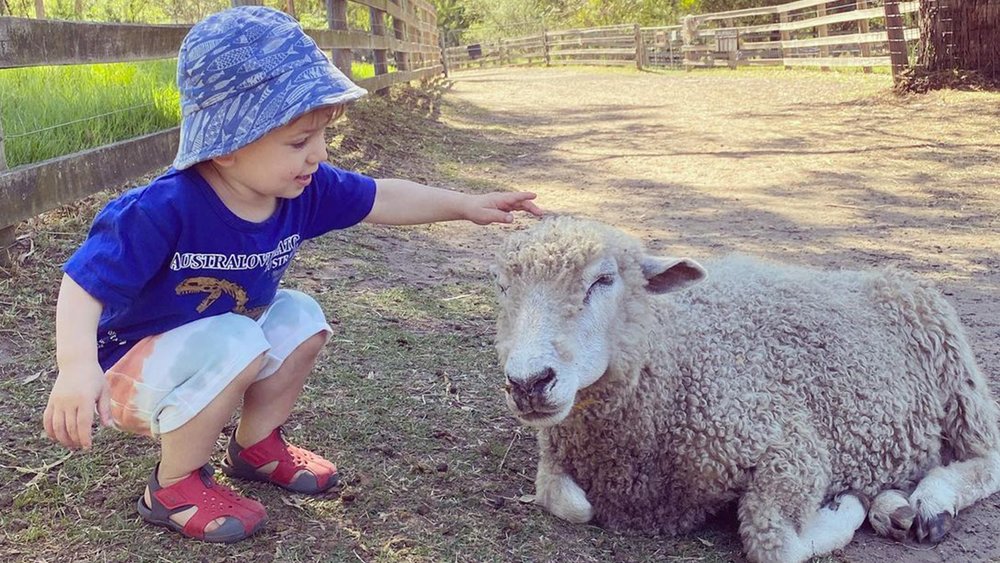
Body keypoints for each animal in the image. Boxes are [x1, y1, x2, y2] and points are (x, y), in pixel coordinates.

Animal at [492, 216, 1000, 563]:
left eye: (603, 279)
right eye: (501, 287)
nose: (528, 382)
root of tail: (887, 274)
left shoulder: (791, 447)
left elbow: (774, 544)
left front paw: (845, 508)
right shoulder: (557, 457)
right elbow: (568, 503)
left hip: (960, 386)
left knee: (986, 460)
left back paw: (930, 504)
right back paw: (893, 507)